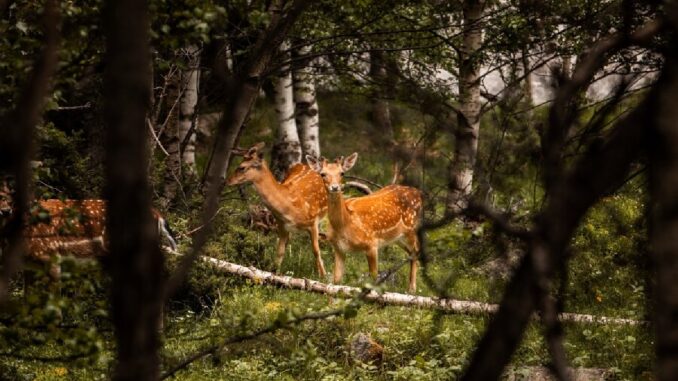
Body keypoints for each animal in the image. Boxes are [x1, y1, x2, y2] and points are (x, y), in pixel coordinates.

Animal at [227, 141, 330, 278]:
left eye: (242, 167)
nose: (228, 181)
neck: (290, 207)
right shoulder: (282, 225)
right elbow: (280, 251)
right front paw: (274, 274)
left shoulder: (312, 222)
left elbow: (316, 250)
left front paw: (324, 277)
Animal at [306, 153, 422, 292]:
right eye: (323, 174)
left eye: (342, 173)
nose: (335, 187)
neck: (345, 225)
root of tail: (418, 193)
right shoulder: (339, 248)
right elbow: (336, 282)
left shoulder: (371, 244)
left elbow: (373, 278)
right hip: (397, 238)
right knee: (411, 253)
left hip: (411, 228)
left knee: (416, 250)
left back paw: (412, 289)